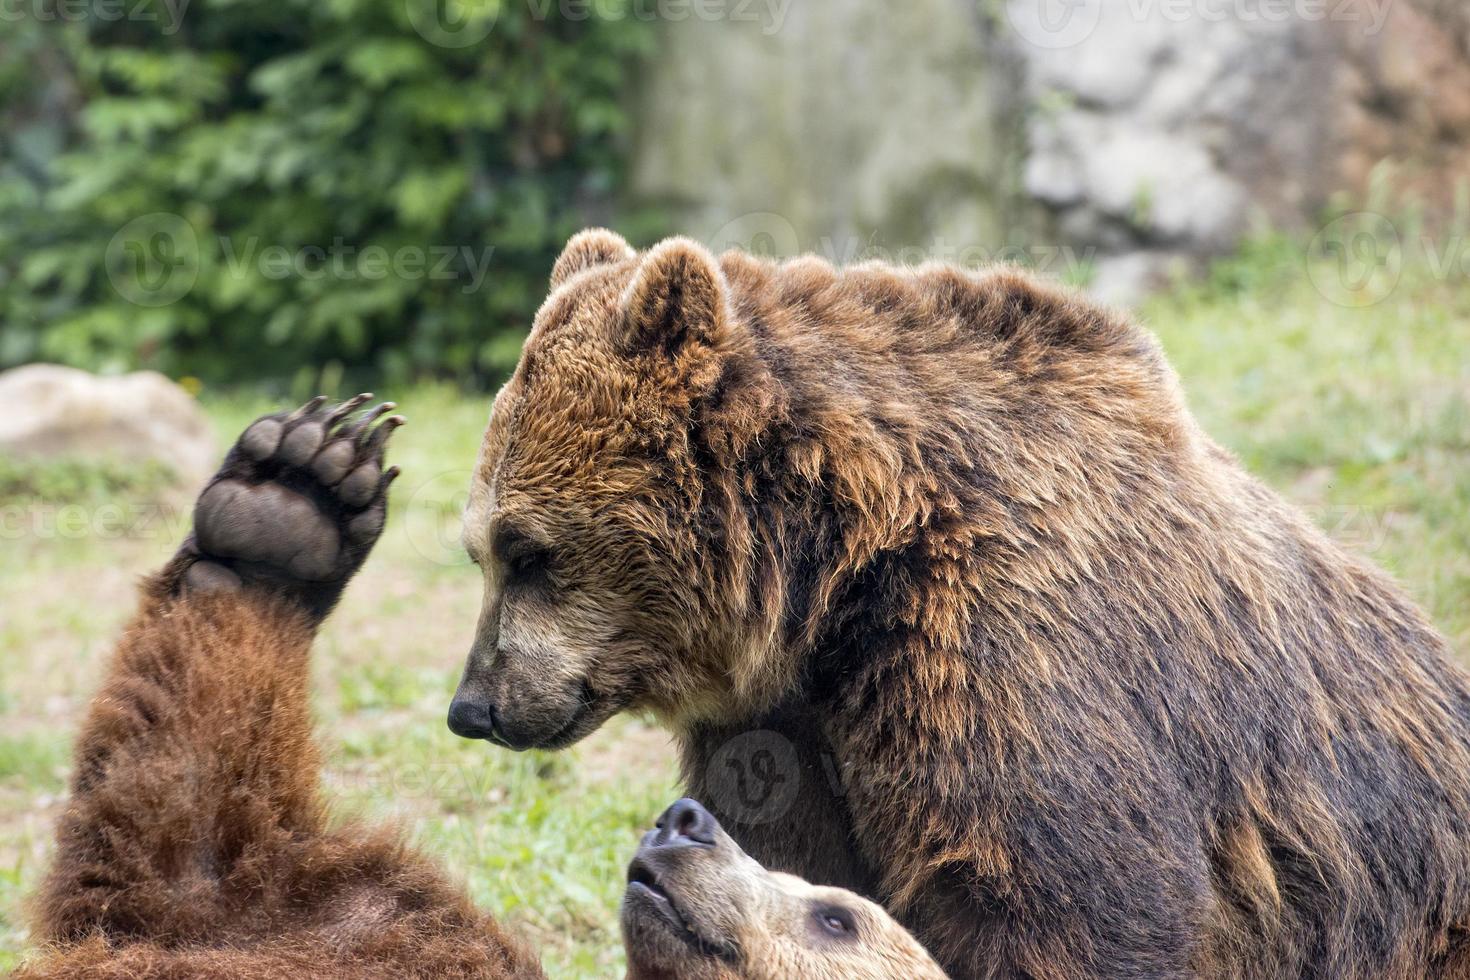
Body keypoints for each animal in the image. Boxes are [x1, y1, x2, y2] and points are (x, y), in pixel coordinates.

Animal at [449, 232, 1470, 980]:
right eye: (479, 550)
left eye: (527, 551)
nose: (473, 706)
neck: (836, 581)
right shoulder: (788, 724)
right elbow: (787, 851)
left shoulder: (1011, 648)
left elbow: (1070, 900)